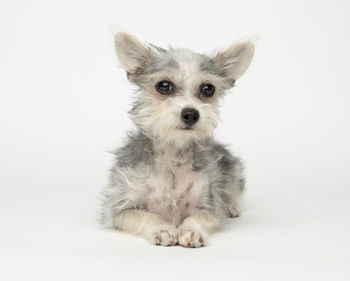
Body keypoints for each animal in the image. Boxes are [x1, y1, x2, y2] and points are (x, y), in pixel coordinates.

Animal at [101, 32, 254, 246]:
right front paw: (162, 228)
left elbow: (200, 216)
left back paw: (231, 207)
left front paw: (191, 230)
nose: (190, 114)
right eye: (164, 86)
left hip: (233, 172)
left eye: (208, 89)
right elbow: (143, 216)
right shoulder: (120, 210)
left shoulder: (212, 205)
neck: (173, 154)